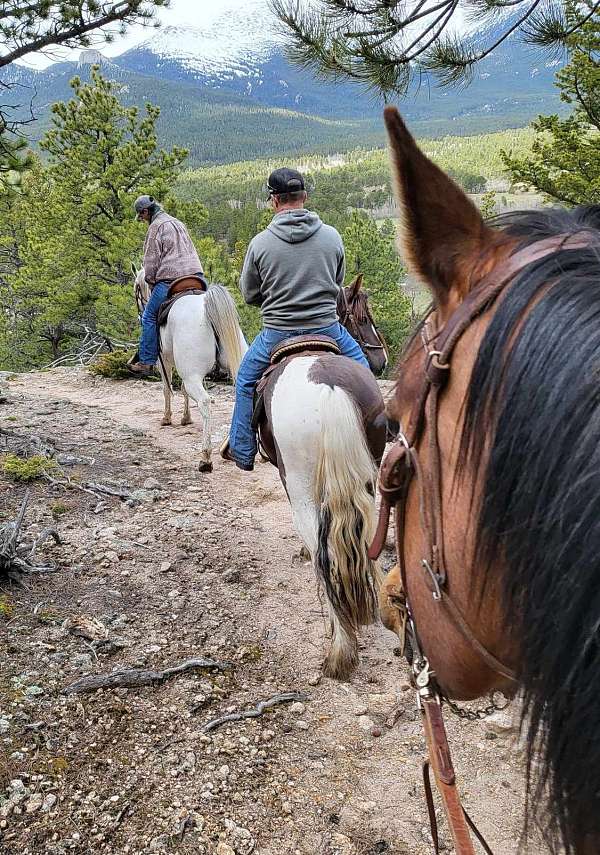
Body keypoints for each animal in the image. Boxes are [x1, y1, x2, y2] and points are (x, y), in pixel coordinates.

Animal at [135, 266, 247, 472]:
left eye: (136, 288)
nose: (140, 313)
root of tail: (207, 306)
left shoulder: (165, 362)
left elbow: (167, 389)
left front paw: (167, 418)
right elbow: (182, 390)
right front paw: (186, 418)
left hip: (191, 376)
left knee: (204, 402)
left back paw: (206, 457)